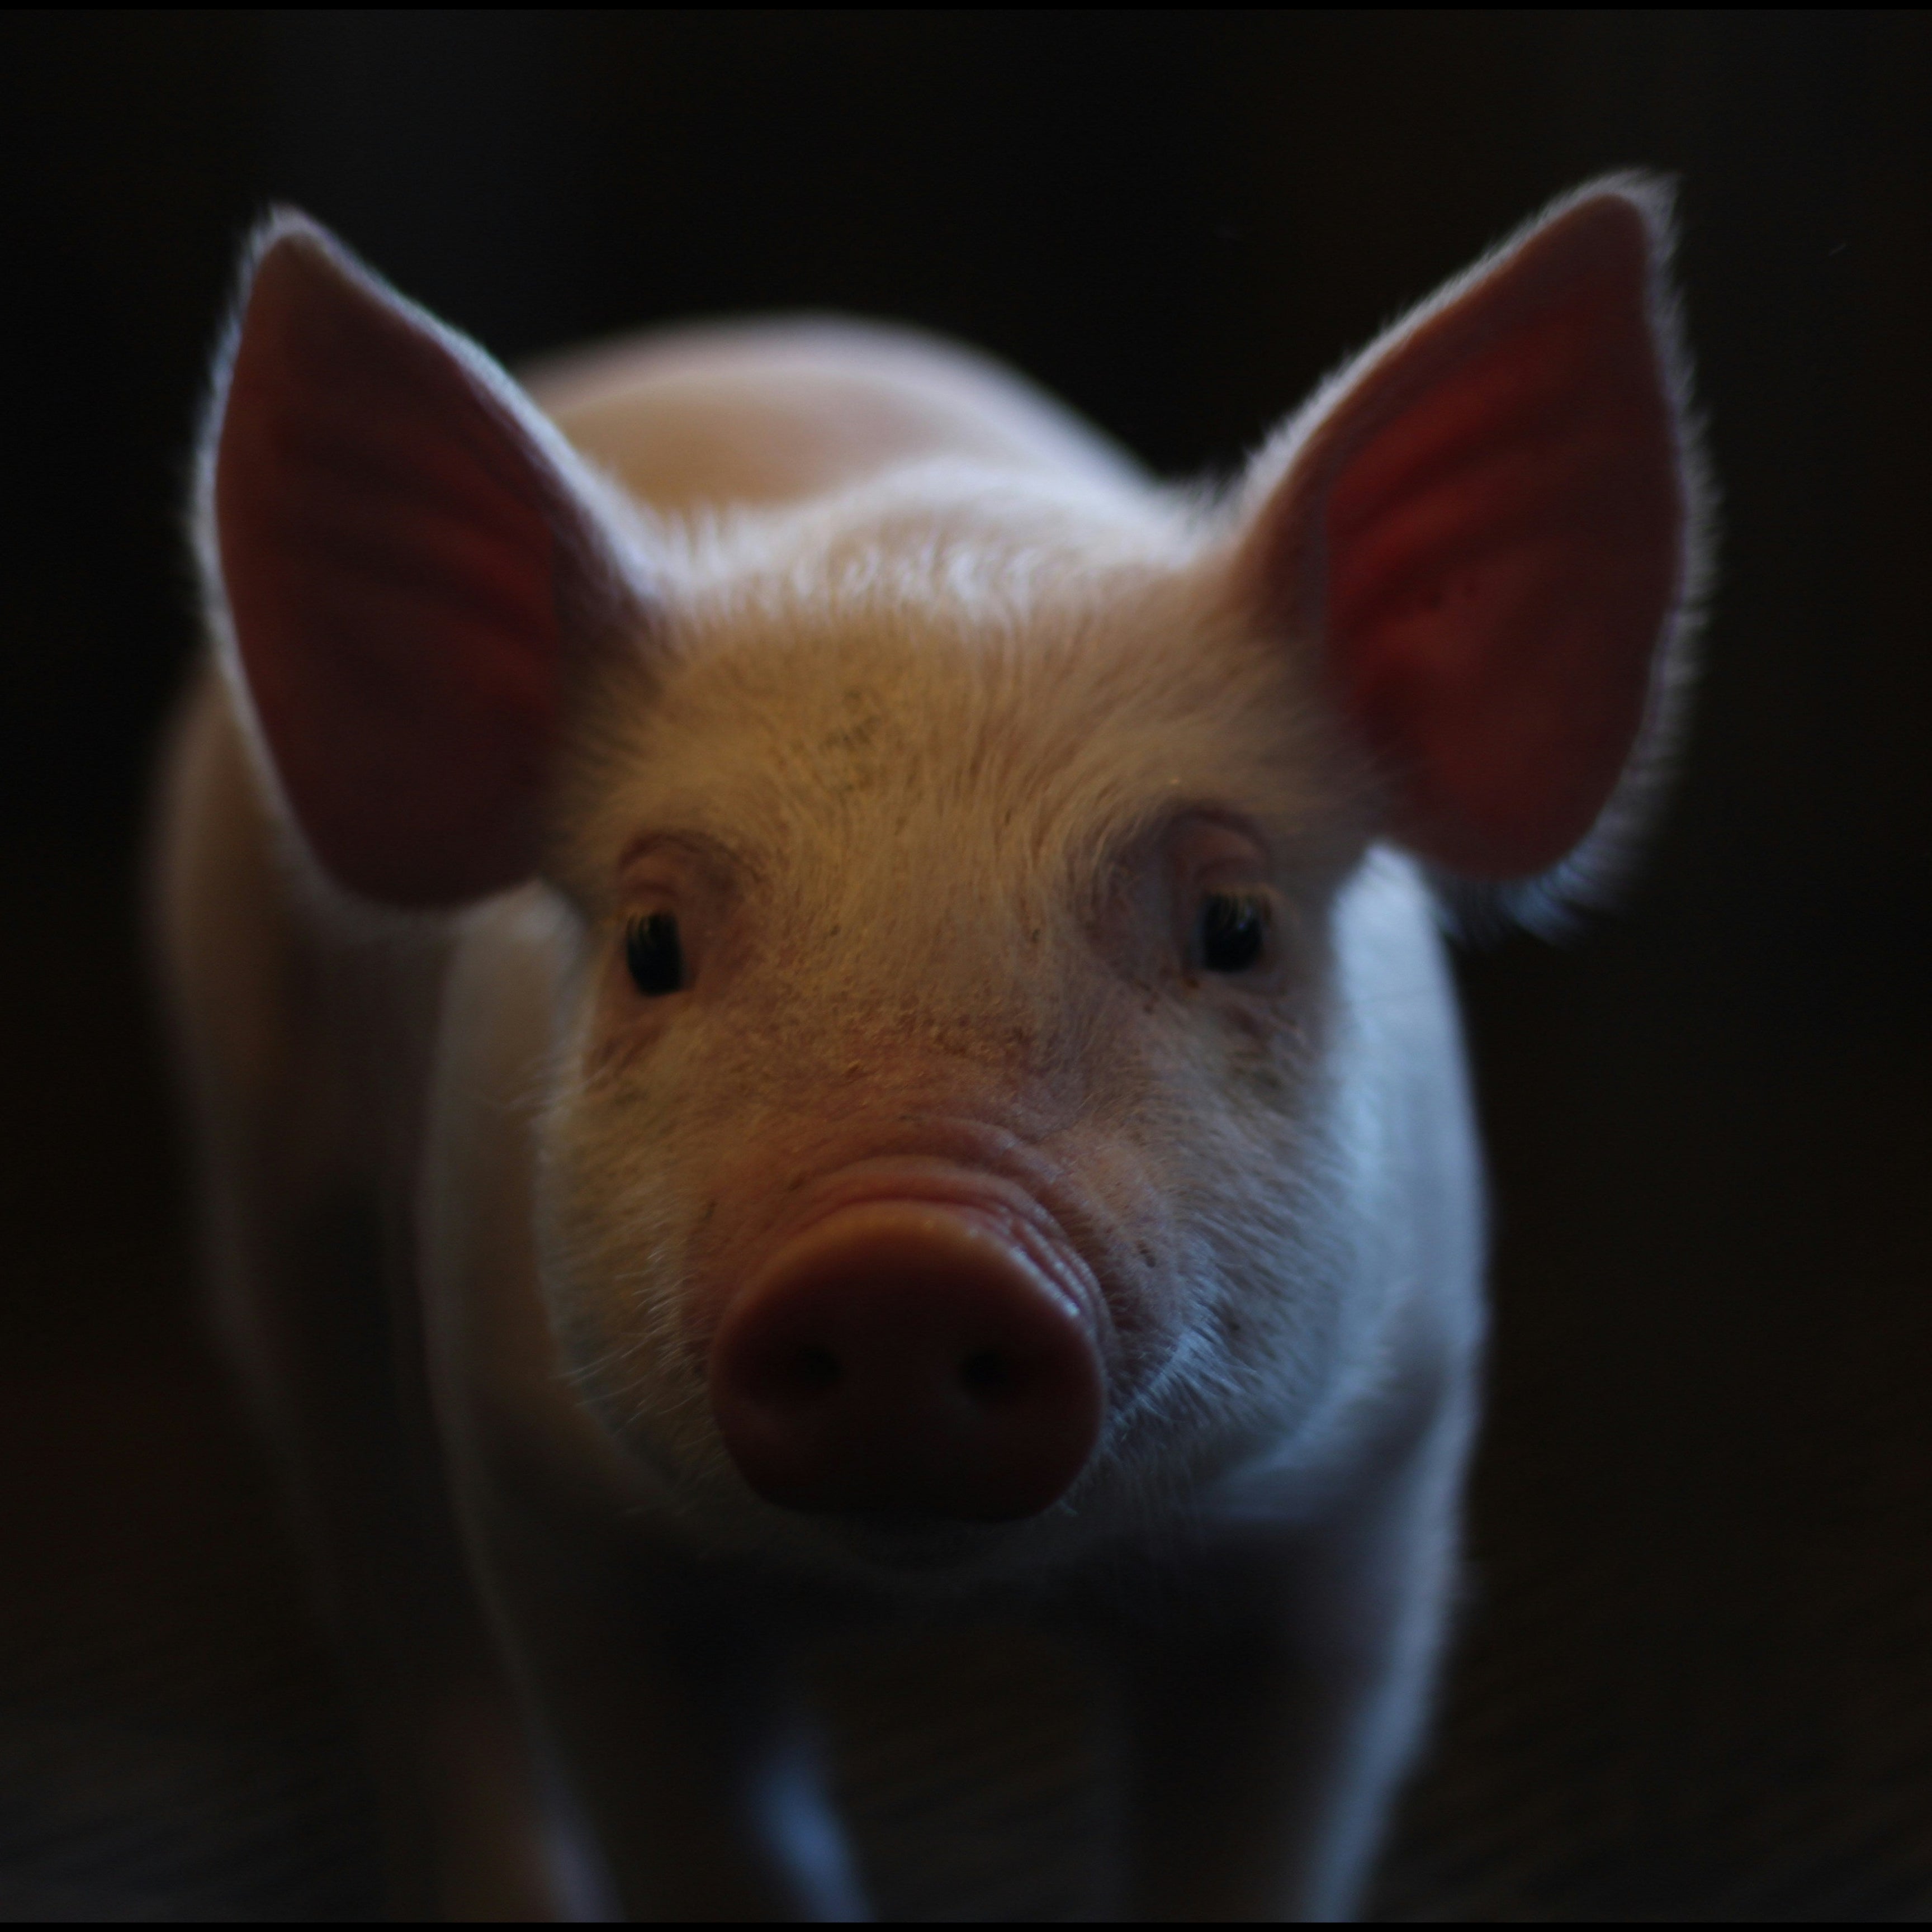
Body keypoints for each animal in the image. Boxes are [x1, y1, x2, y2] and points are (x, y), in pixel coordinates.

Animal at [151, 173, 1705, 1920]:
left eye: (1234, 922)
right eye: (651, 944)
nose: (902, 1259)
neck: (942, 1599)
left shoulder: (1370, 1491)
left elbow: (1254, 1832)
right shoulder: (557, 1506)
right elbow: (713, 1832)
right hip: (274, 1171)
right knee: (401, 1604)